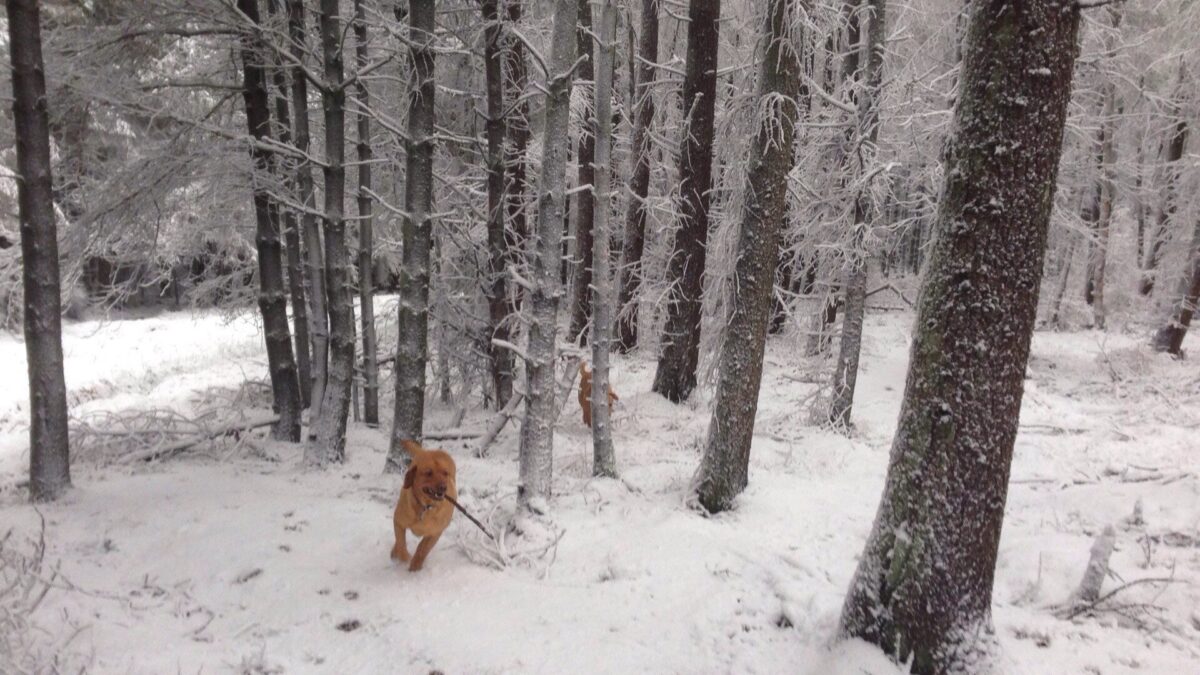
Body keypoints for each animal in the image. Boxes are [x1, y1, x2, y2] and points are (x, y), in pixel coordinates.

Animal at [391, 439, 456, 569]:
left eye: (445, 473)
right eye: (428, 473)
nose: (443, 487)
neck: (425, 507)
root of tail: (427, 451)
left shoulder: (435, 533)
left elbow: (422, 549)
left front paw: (415, 566)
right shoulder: (398, 521)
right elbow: (401, 543)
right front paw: (404, 557)